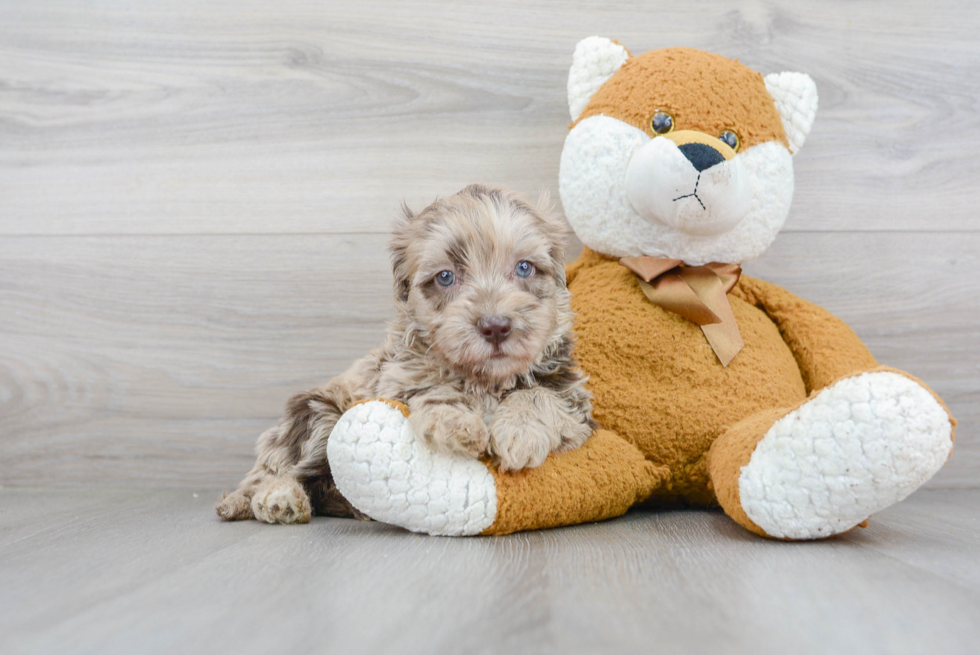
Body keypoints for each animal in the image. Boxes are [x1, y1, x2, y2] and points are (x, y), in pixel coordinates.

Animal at [217, 187, 592, 524]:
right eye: (445, 277)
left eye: (524, 268)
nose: (496, 327)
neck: (484, 379)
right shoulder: (397, 379)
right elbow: (433, 387)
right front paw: (456, 424)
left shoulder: (574, 401)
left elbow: (538, 395)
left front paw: (519, 433)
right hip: (316, 414)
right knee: (277, 472)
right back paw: (275, 498)